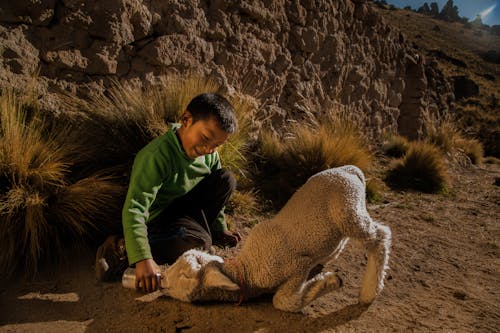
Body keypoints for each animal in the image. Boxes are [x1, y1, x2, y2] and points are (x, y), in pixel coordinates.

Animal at [160, 165, 390, 312]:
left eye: (185, 276)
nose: (161, 279)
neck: (248, 269)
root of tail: (351, 169)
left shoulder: (298, 266)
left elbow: (282, 301)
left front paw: (330, 281)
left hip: (349, 209)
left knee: (380, 236)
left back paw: (369, 292)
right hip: (342, 218)